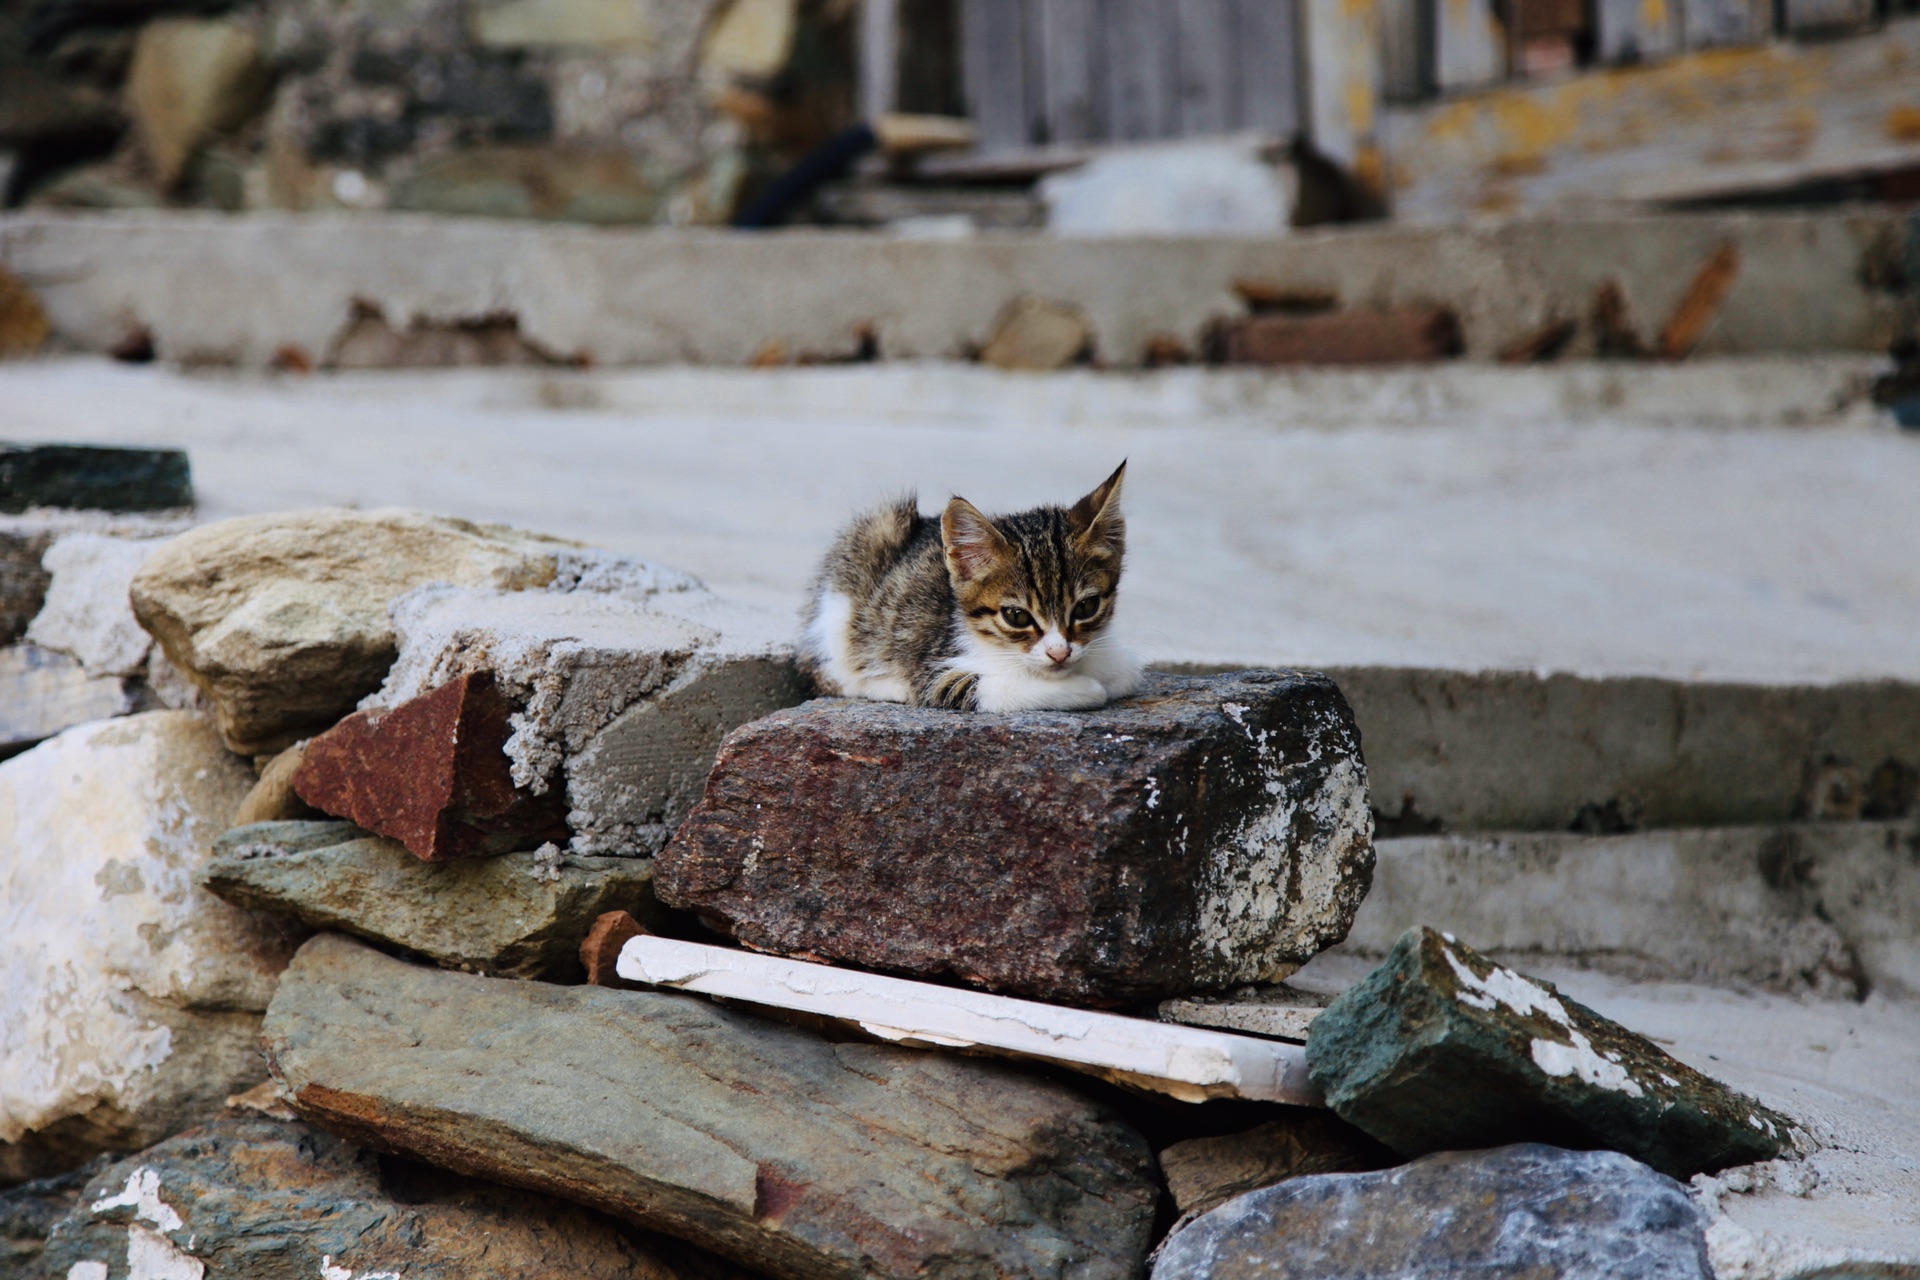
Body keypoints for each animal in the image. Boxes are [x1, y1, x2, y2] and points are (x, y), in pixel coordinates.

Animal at [798, 460, 1136, 710]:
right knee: (825, 673)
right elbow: (994, 687)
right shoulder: (934, 670)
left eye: (1086, 606)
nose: (1059, 653)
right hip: (867, 548)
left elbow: (1124, 675)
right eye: (1016, 616)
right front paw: (1085, 688)